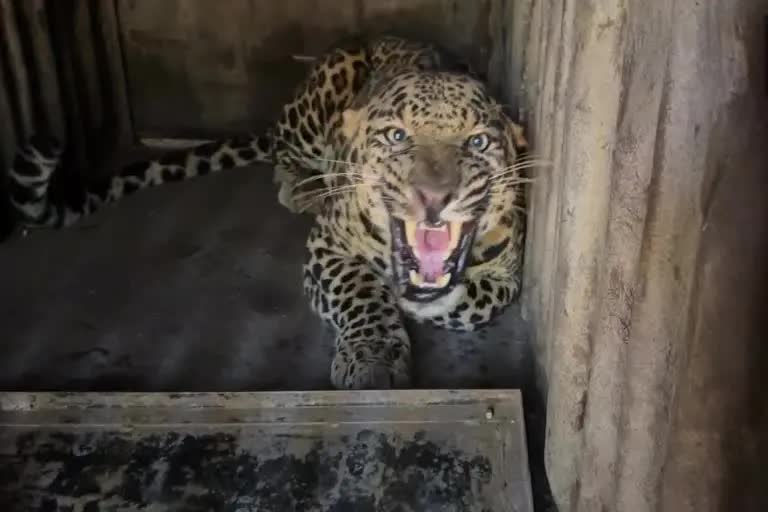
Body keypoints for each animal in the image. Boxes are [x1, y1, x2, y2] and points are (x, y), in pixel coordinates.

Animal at [6, 36, 530, 389]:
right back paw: (301, 187)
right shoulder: (329, 246)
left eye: (478, 142)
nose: (432, 196)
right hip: (321, 96)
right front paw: (373, 361)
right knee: (283, 152)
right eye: (396, 136)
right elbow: (362, 293)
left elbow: (473, 304)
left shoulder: (506, 277)